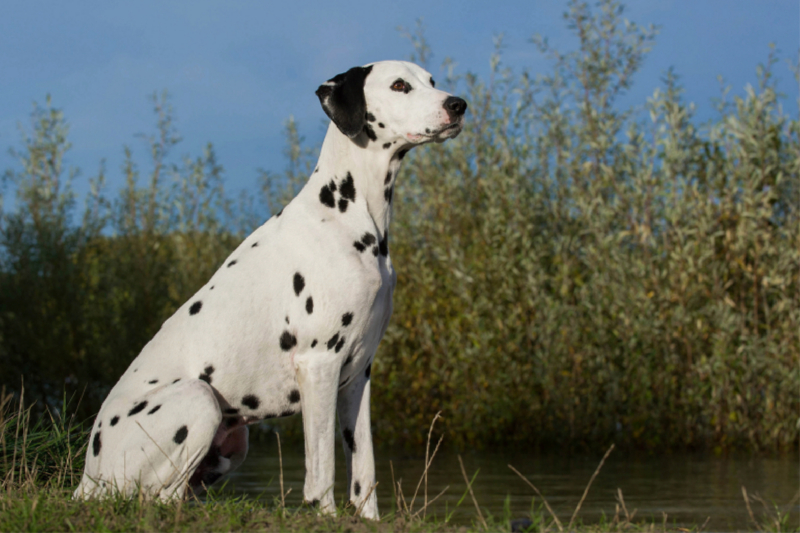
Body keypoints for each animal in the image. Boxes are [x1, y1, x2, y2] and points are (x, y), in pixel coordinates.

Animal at [74, 60, 466, 516]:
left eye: (432, 81)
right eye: (400, 85)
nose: (458, 105)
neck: (348, 215)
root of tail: (86, 476)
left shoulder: (359, 374)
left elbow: (363, 469)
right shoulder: (319, 365)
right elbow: (321, 470)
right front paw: (325, 516)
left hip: (233, 440)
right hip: (200, 400)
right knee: (159, 498)